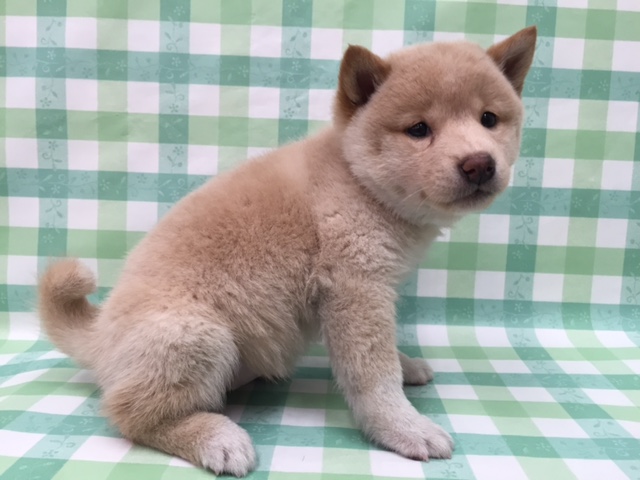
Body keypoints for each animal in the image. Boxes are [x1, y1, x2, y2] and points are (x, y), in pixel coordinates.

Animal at [38, 26, 536, 476]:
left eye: (489, 119)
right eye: (418, 129)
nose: (479, 164)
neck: (358, 183)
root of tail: (99, 334)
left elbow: (386, 356)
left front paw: (405, 366)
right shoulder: (356, 290)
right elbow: (374, 377)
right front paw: (404, 428)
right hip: (197, 335)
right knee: (130, 414)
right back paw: (215, 438)